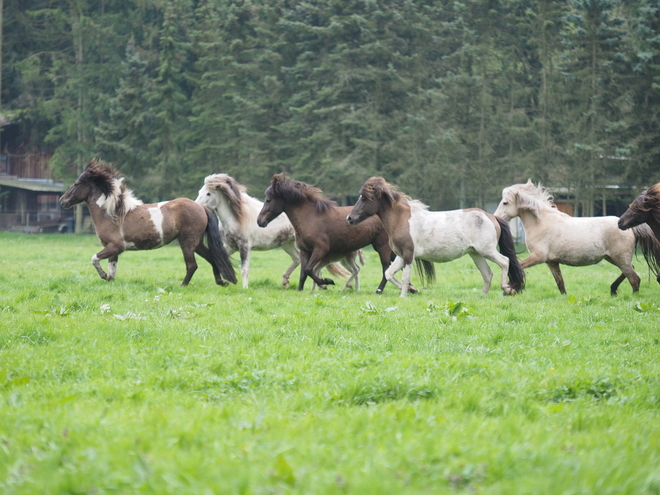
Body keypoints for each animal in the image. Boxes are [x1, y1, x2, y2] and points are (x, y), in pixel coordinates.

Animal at [58, 159, 236, 286]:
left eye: (76, 184)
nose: (62, 201)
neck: (111, 214)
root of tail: (201, 207)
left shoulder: (115, 246)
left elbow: (94, 258)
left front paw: (102, 276)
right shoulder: (113, 250)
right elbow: (112, 271)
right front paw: (108, 279)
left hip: (187, 242)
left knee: (192, 265)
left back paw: (182, 285)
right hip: (197, 242)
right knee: (212, 258)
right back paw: (221, 282)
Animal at [256, 174, 402, 292]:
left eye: (268, 199)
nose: (260, 221)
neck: (310, 217)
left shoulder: (320, 249)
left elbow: (309, 269)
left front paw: (326, 282)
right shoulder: (305, 251)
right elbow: (303, 273)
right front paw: (300, 290)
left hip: (383, 247)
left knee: (386, 268)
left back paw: (380, 290)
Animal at [346, 177, 524, 298]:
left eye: (364, 198)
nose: (349, 218)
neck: (402, 219)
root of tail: (492, 217)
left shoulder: (409, 255)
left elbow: (404, 277)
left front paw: (404, 295)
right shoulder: (401, 255)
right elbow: (389, 274)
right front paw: (411, 289)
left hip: (487, 250)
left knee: (505, 262)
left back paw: (507, 288)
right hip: (476, 254)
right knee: (487, 274)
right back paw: (483, 295)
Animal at [496, 180, 660, 294]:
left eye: (505, 202)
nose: (496, 217)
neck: (542, 223)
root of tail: (629, 227)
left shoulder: (538, 257)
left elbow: (517, 266)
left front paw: (510, 288)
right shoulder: (551, 262)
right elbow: (560, 284)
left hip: (620, 259)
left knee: (634, 279)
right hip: (612, 258)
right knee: (630, 272)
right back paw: (613, 290)